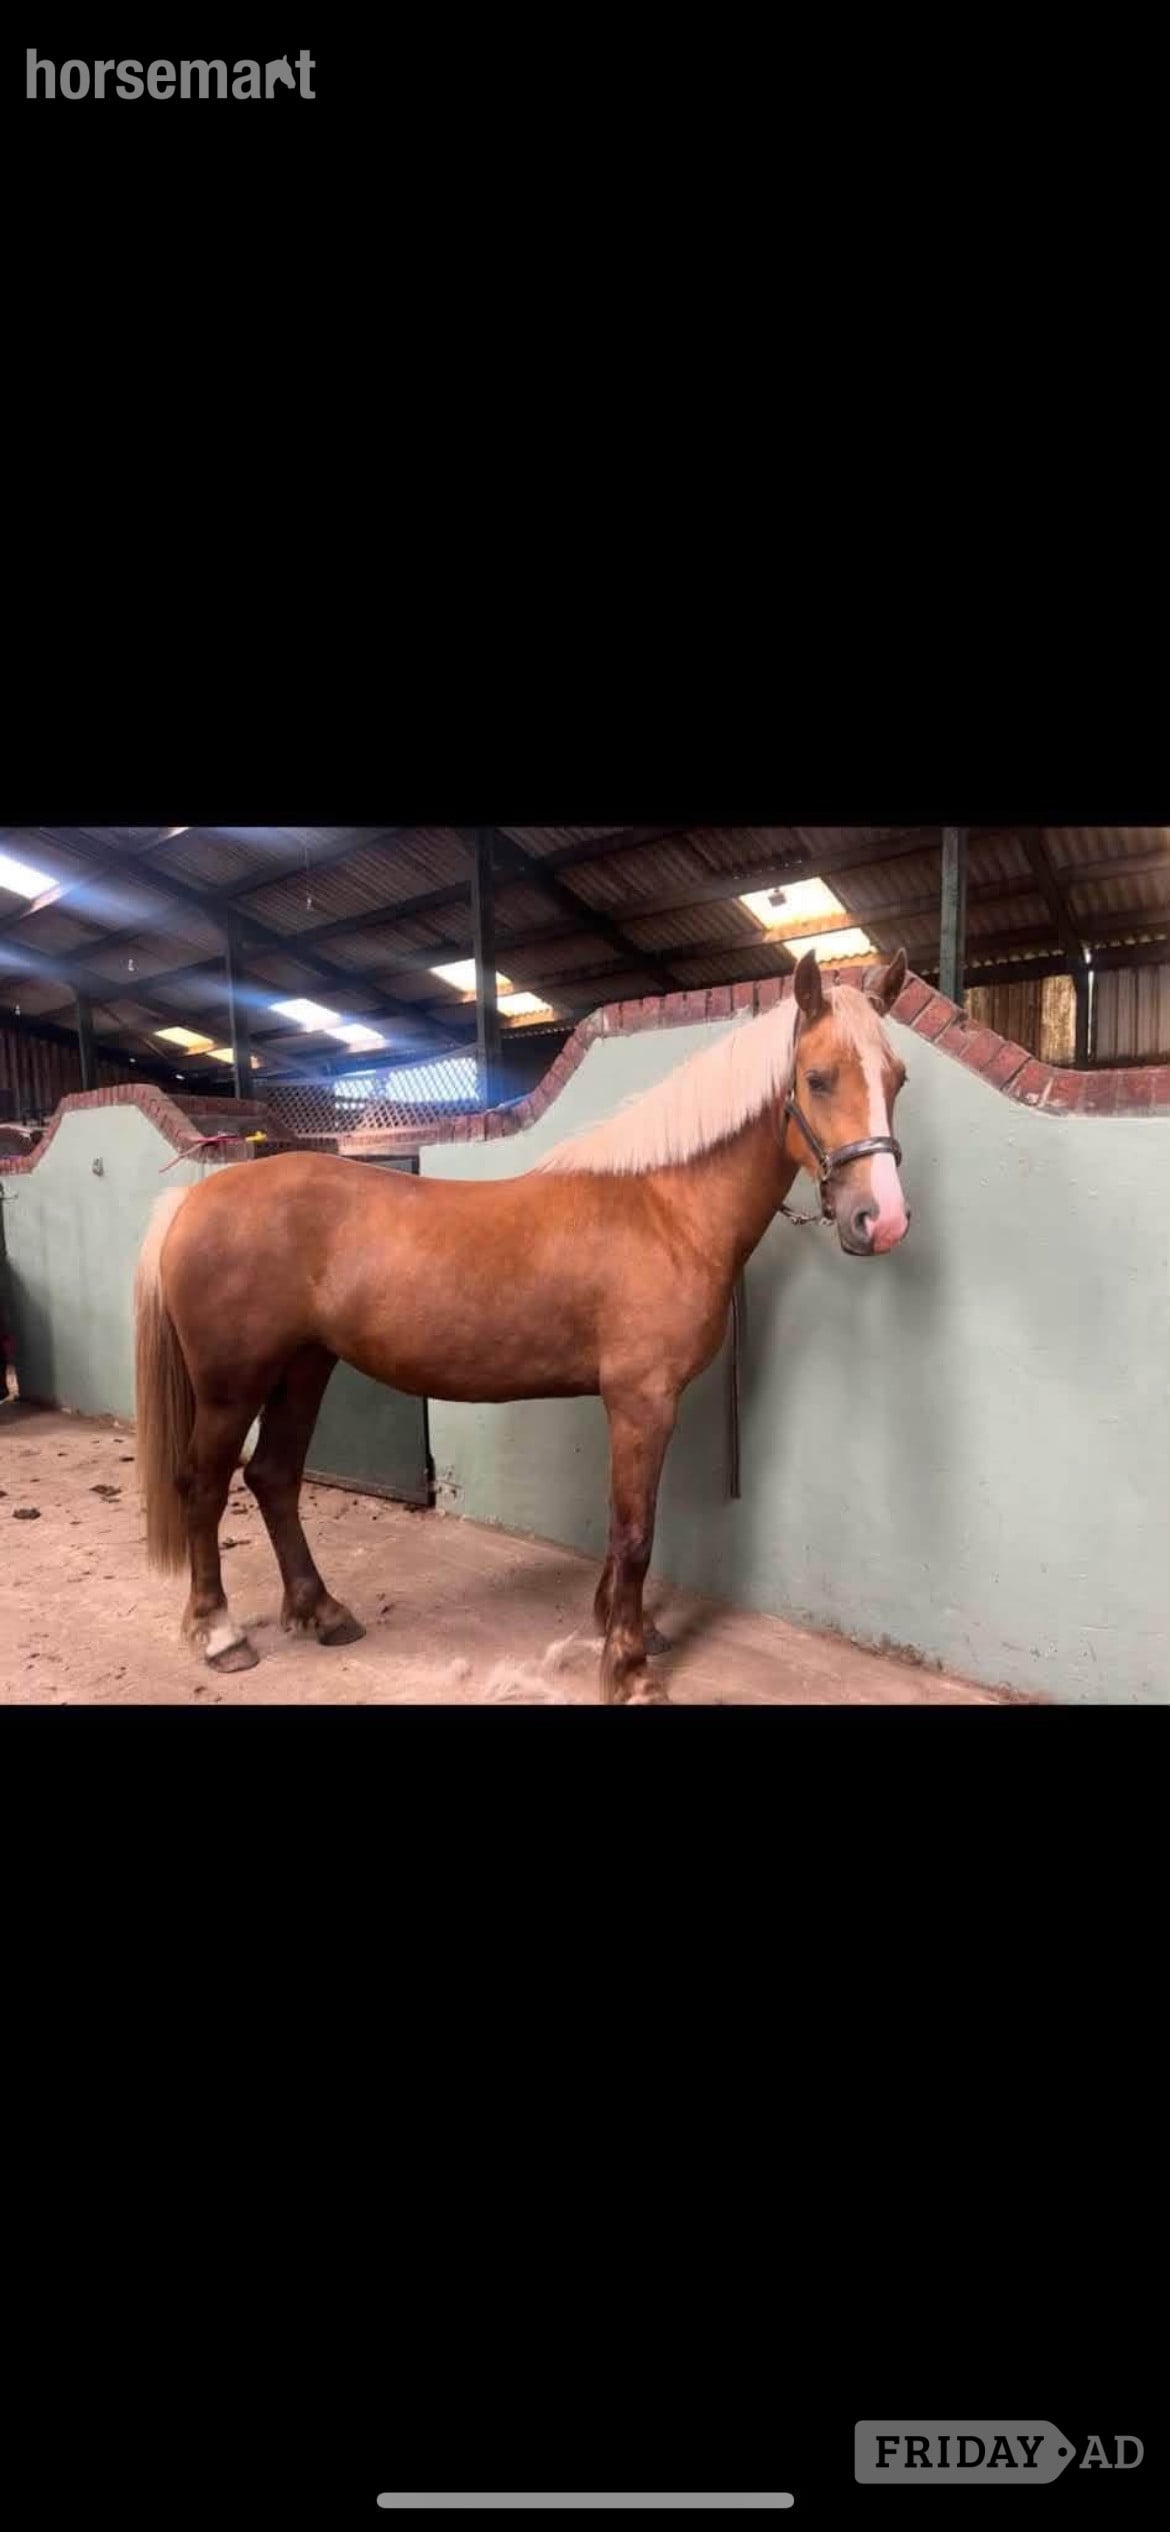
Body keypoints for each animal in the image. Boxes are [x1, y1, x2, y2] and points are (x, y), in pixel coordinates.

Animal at [134, 946, 911, 1702]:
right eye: (817, 1079)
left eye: (896, 1079)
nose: (881, 1220)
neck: (665, 1207)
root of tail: (193, 1199)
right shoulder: (643, 1400)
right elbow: (636, 1531)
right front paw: (628, 1669)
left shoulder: (629, 1404)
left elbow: (620, 1523)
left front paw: (625, 1628)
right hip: (233, 1384)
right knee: (205, 1485)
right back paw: (221, 1635)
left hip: (304, 1366)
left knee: (273, 1477)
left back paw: (322, 1612)